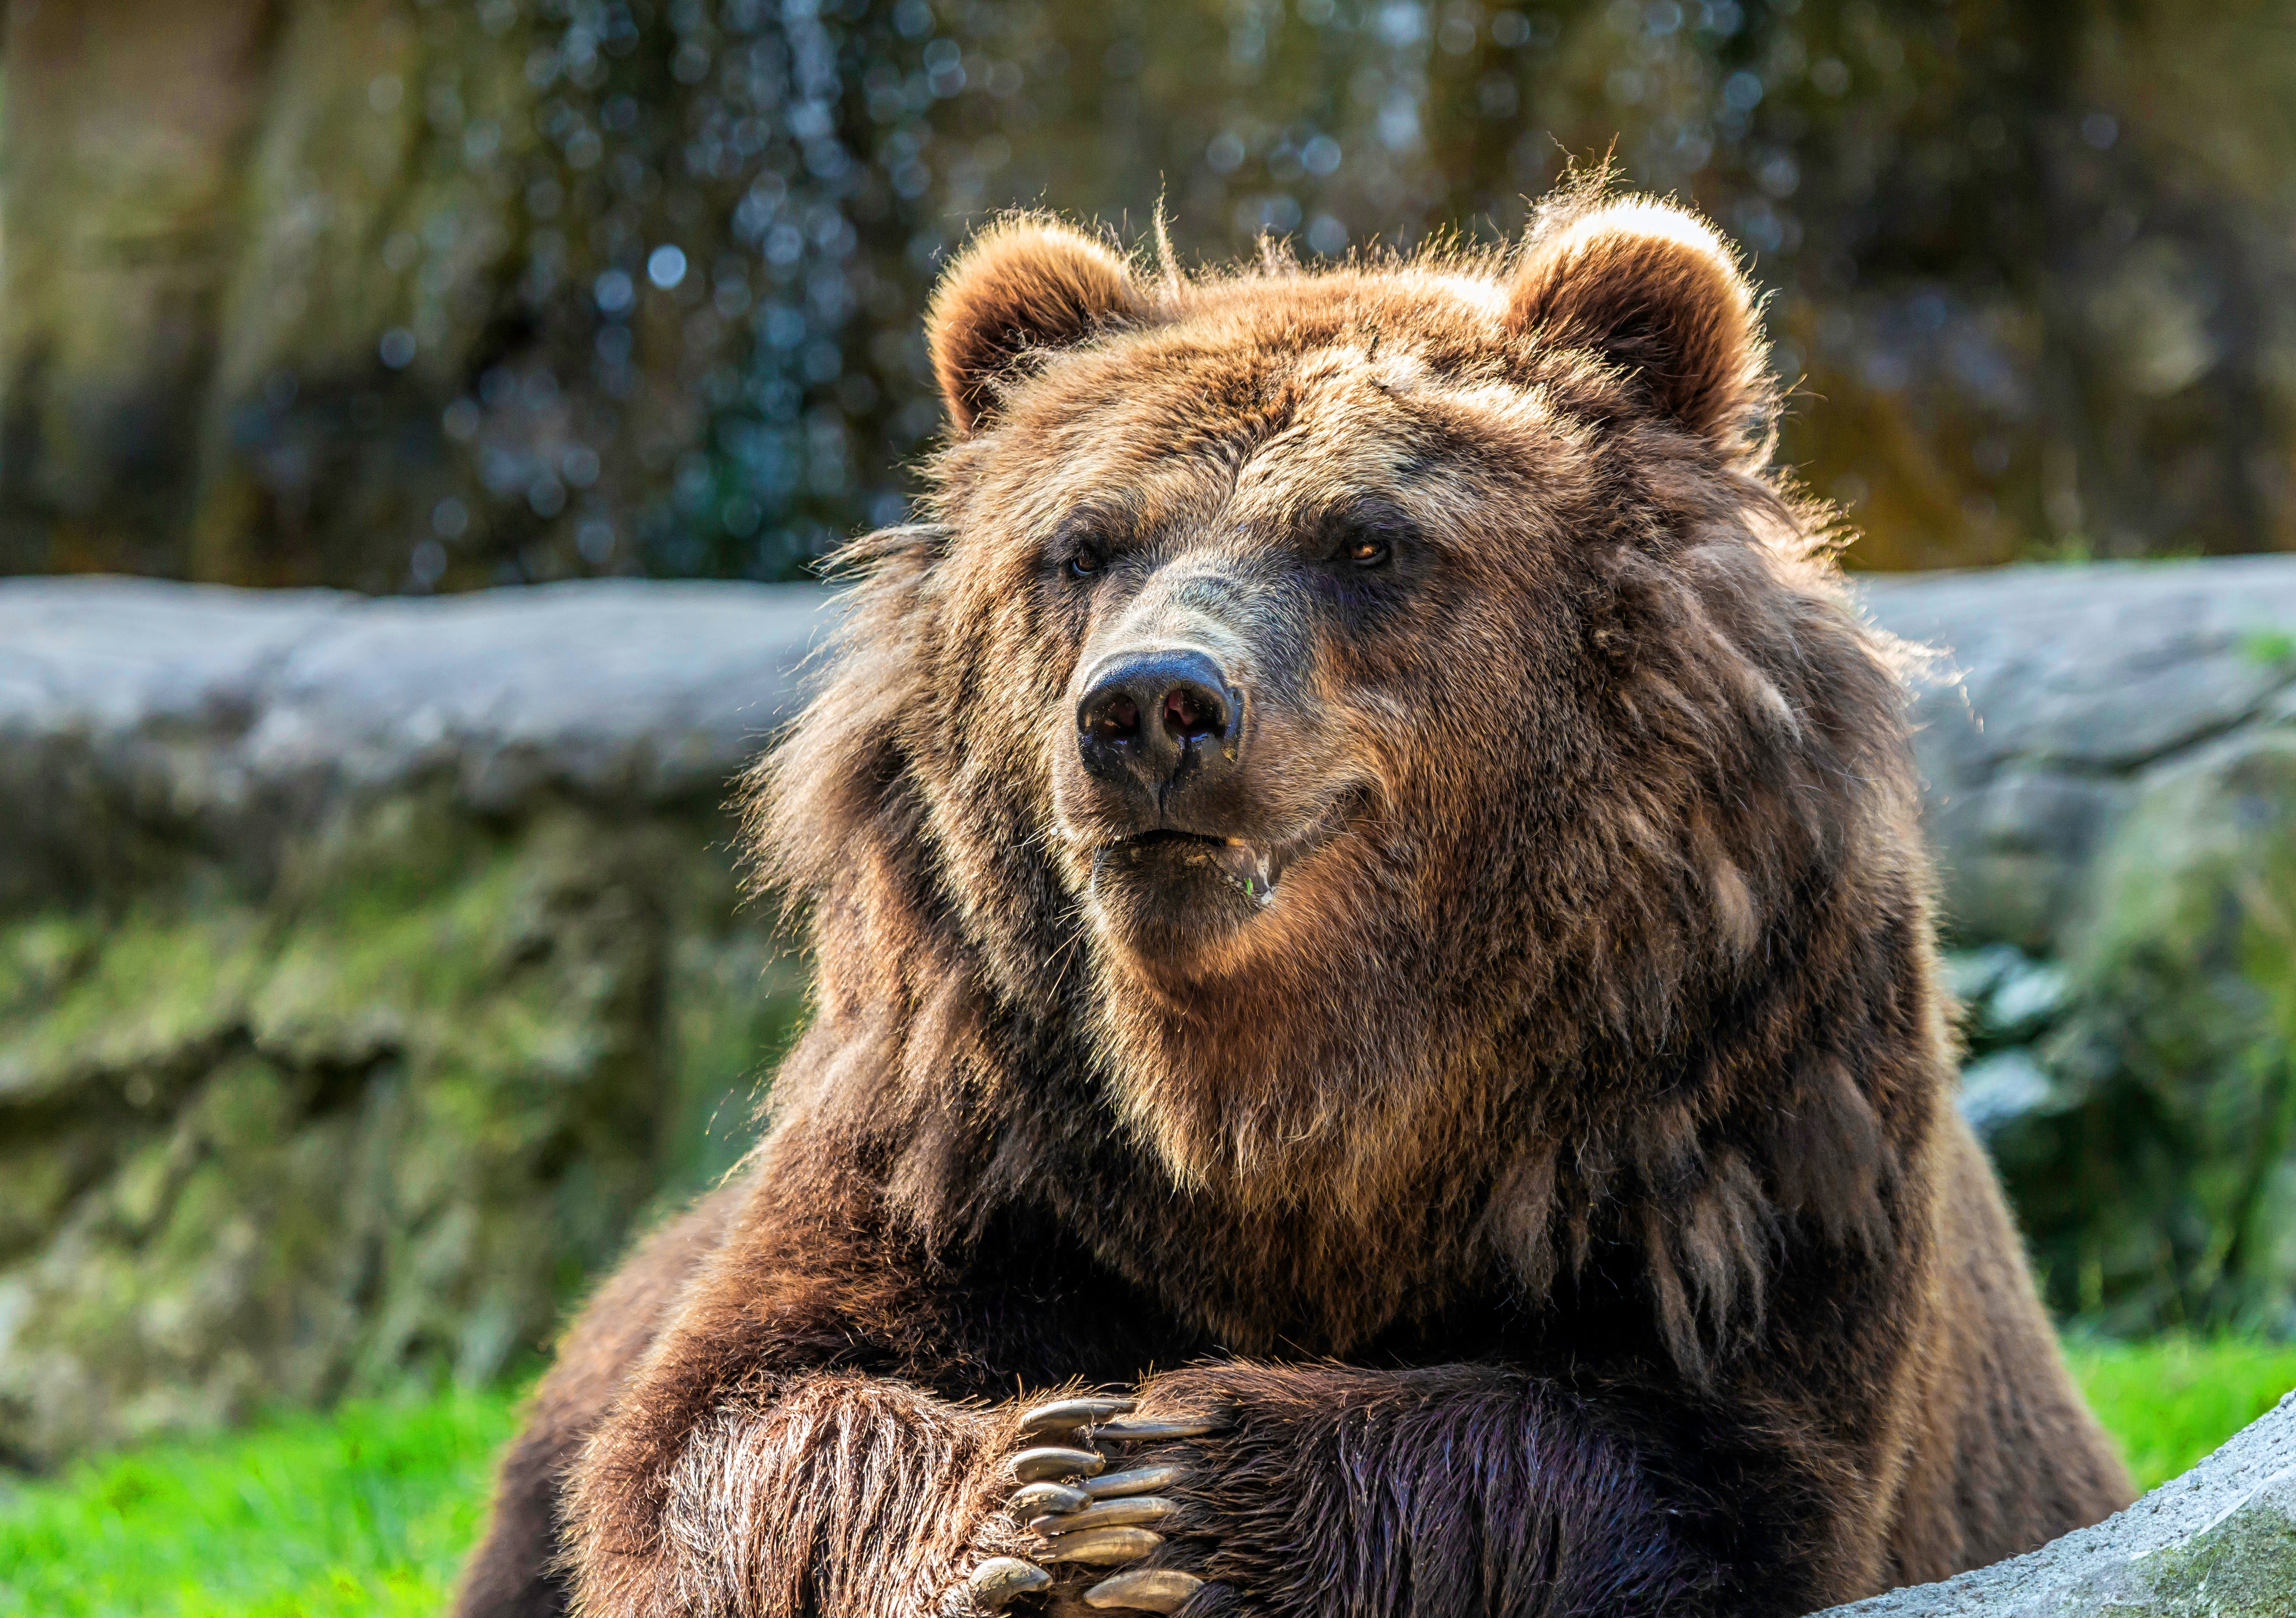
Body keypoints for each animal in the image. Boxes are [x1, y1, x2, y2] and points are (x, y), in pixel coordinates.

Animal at [448, 176, 2130, 1615]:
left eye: (1367, 539)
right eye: (1083, 543)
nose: (1151, 707)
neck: (1287, 1107)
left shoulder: (1731, 1104)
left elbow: (1693, 1462)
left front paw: (1183, 1500)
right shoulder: (973, 1117)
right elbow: (722, 1422)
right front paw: (1027, 1493)